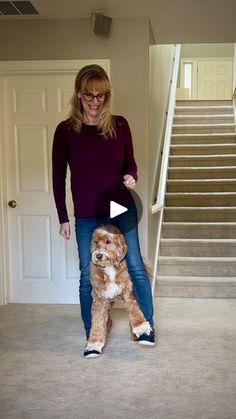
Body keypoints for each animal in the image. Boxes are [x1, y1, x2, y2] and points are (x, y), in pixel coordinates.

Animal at [84, 225, 152, 360]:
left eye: (108, 242)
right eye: (96, 242)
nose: (98, 256)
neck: (110, 267)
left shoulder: (128, 291)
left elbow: (135, 310)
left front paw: (141, 326)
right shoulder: (100, 299)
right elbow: (97, 321)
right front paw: (94, 344)